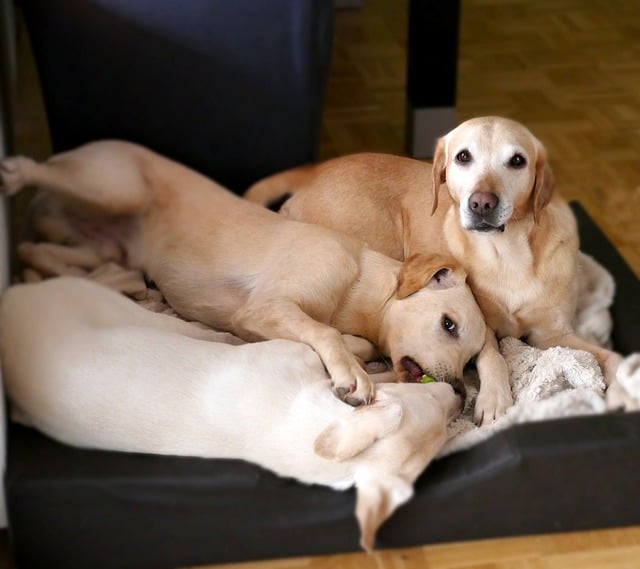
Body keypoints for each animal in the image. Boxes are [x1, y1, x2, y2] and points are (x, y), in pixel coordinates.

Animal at [0, 276, 462, 552]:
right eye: (432, 404)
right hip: (114, 307)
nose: (458, 396)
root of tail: (13, 298)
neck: (291, 427)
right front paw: (361, 357)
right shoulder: (294, 353)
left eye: (444, 431)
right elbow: (341, 350)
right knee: (189, 327)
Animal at [246, 115, 624, 424]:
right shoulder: (485, 326)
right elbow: (495, 357)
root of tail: (313, 173)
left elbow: (610, 358)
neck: (509, 252)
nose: (482, 203)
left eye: (517, 160)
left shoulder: (554, 336)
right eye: (463, 156)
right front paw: (495, 400)